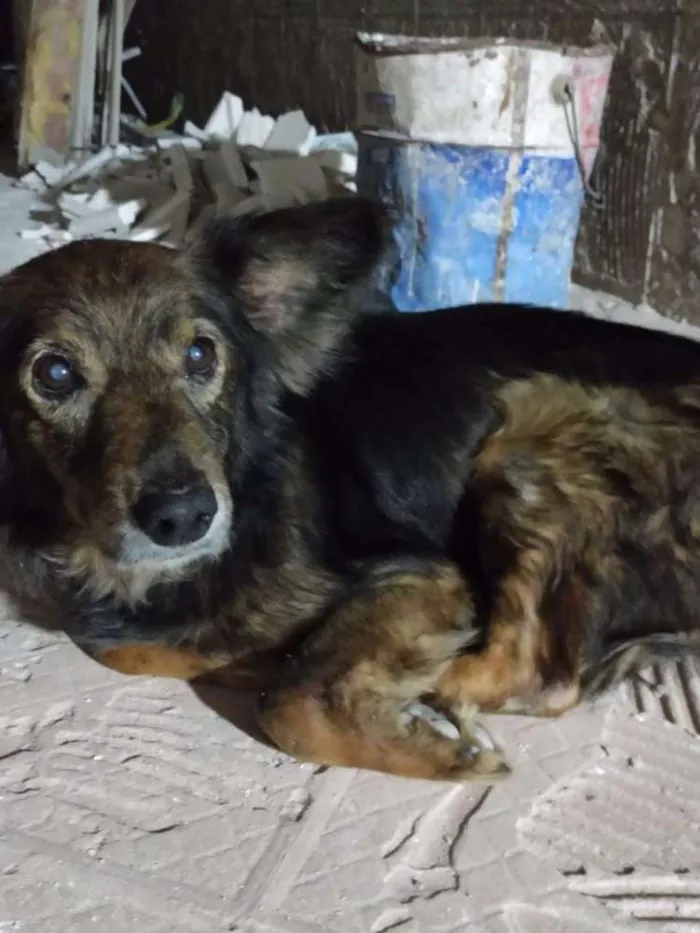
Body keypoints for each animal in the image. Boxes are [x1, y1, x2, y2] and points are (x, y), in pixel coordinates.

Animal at [1, 200, 700, 784]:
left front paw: (435, 749)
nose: (183, 516)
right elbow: (133, 646)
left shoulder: (423, 574)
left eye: (201, 355)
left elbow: (287, 701)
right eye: (54, 373)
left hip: (532, 420)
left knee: (540, 673)